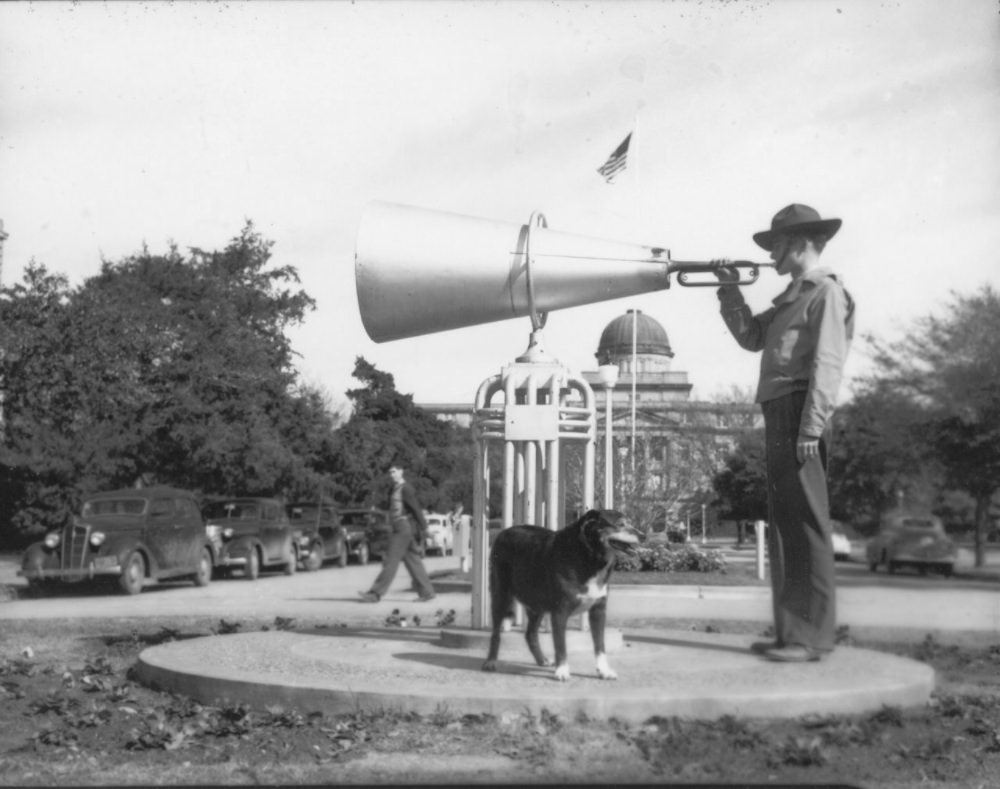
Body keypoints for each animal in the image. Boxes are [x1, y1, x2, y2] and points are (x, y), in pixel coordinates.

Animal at [480, 508, 636, 680]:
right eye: (621, 524)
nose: (643, 535)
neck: (588, 556)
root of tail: (504, 532)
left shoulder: (598, 611)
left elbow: (600, 645)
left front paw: (604, 670)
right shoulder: (560, 612)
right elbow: (560, 645)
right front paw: (562, 670)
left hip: (537, 605)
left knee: (530, 634)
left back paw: (541, 659)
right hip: (501, 595)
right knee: (496, 633)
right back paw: (491, 661)